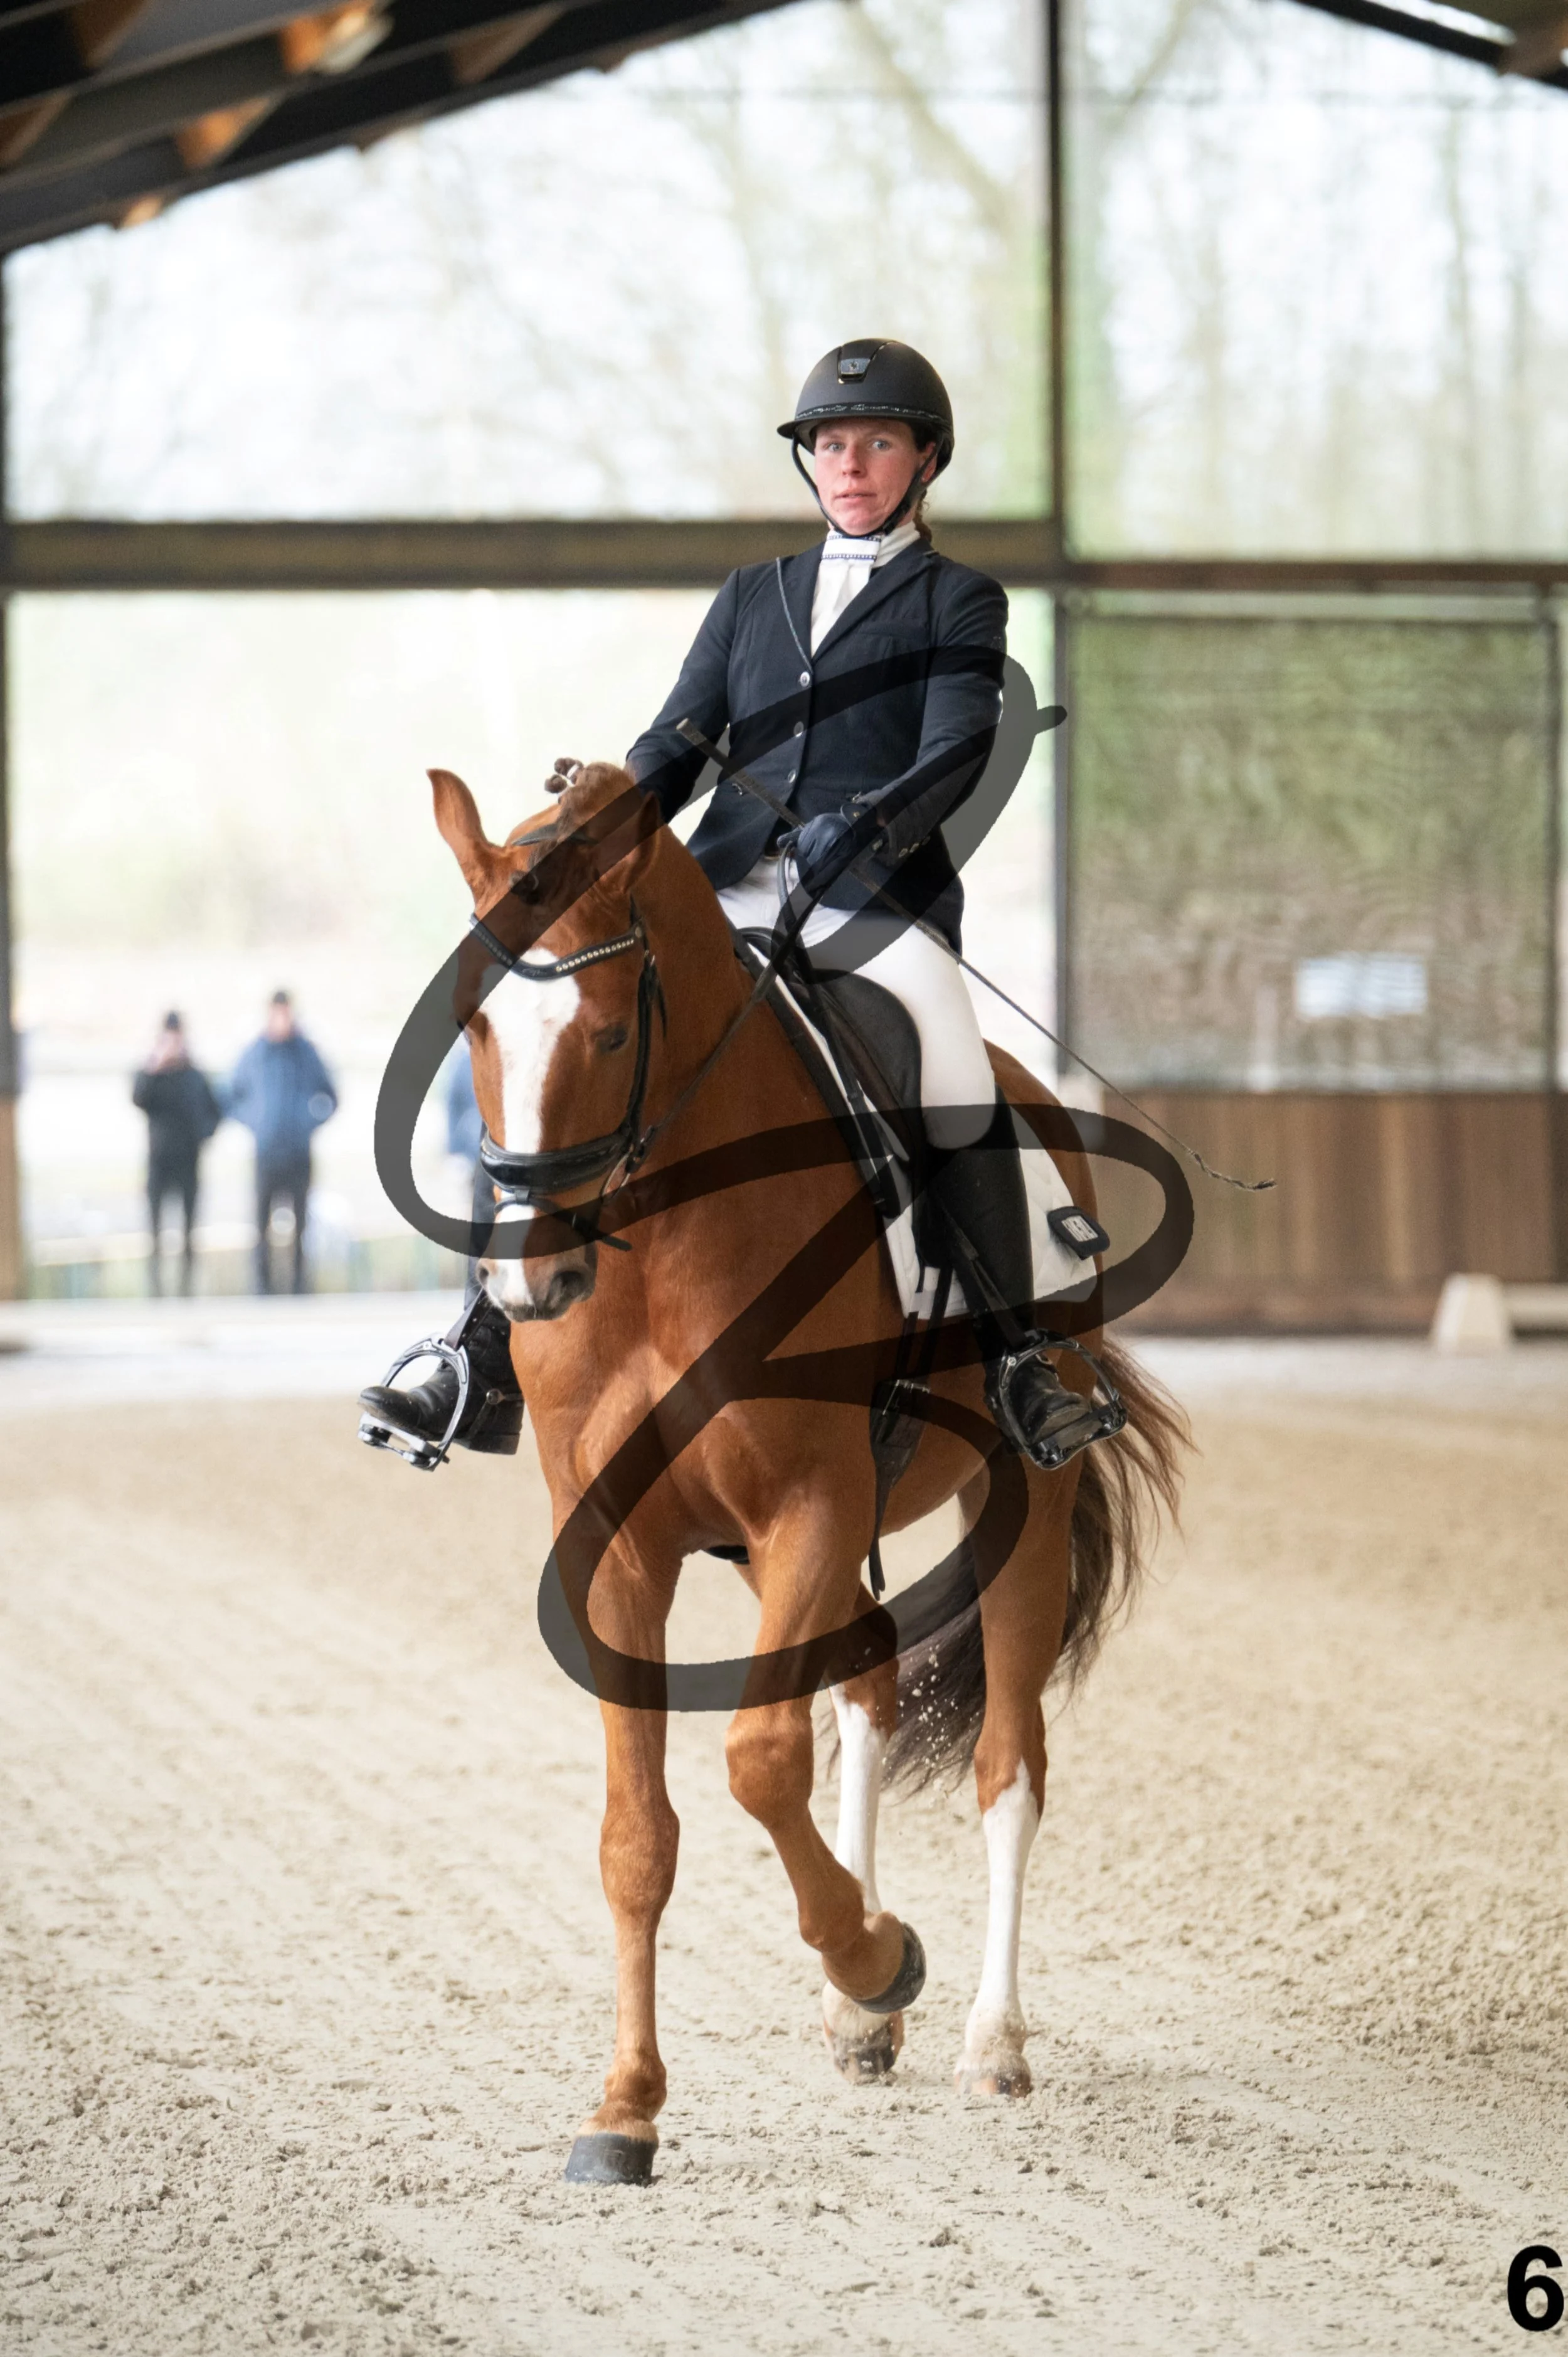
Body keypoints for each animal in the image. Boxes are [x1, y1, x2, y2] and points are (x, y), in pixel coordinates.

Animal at [427, 755, 1185, 2185]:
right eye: (473, 1031)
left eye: (607, 1034)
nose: (530, 1283)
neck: (663, 1243)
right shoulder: (623, 1548)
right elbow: (638, 1833)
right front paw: (626, 2107)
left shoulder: (808, 1506)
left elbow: (757, 1761)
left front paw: (879, 1957)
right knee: (872, 1694)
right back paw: (858, 2024)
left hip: (1020, 1499)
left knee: (1007, 1761)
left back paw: (985, 2037)